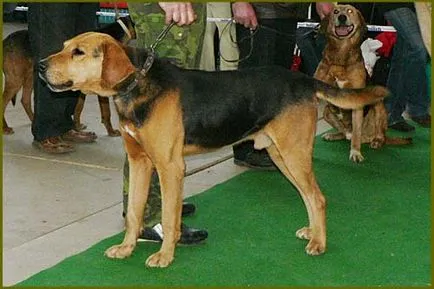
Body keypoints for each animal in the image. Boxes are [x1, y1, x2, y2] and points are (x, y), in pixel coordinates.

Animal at [2, 16, 136, 136]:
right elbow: (106, 112)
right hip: (15, 80)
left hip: (29, 77)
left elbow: (79, 107)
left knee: (25, 100)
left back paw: (33, 121)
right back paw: (5, 128)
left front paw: (77, 126)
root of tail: (6, 40)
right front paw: (111, 131)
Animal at [39, 31, 388, 266]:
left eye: (79, 52)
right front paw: (127, 248)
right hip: (281, 155)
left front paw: (165, 256)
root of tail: (303, 80)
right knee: (309, 197)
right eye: (64, 47)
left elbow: (169, 216)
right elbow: (135, 212)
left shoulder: (170, 167)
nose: (41, 66)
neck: (137, 84)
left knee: (317, 197)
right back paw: (312, 233)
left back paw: (319, 243)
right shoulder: (140, 162)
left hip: (293, 153)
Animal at [316, 3, 410, 162]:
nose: (342, 17)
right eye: (335, 11)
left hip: (379, 106)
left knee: (373, 135)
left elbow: (356, 136)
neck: (340, 56)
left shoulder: (356, 100)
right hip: (327, 112)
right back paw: (336, 135)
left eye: (350, 11)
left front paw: (355, 152)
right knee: (346, 132)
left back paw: (376, 141)